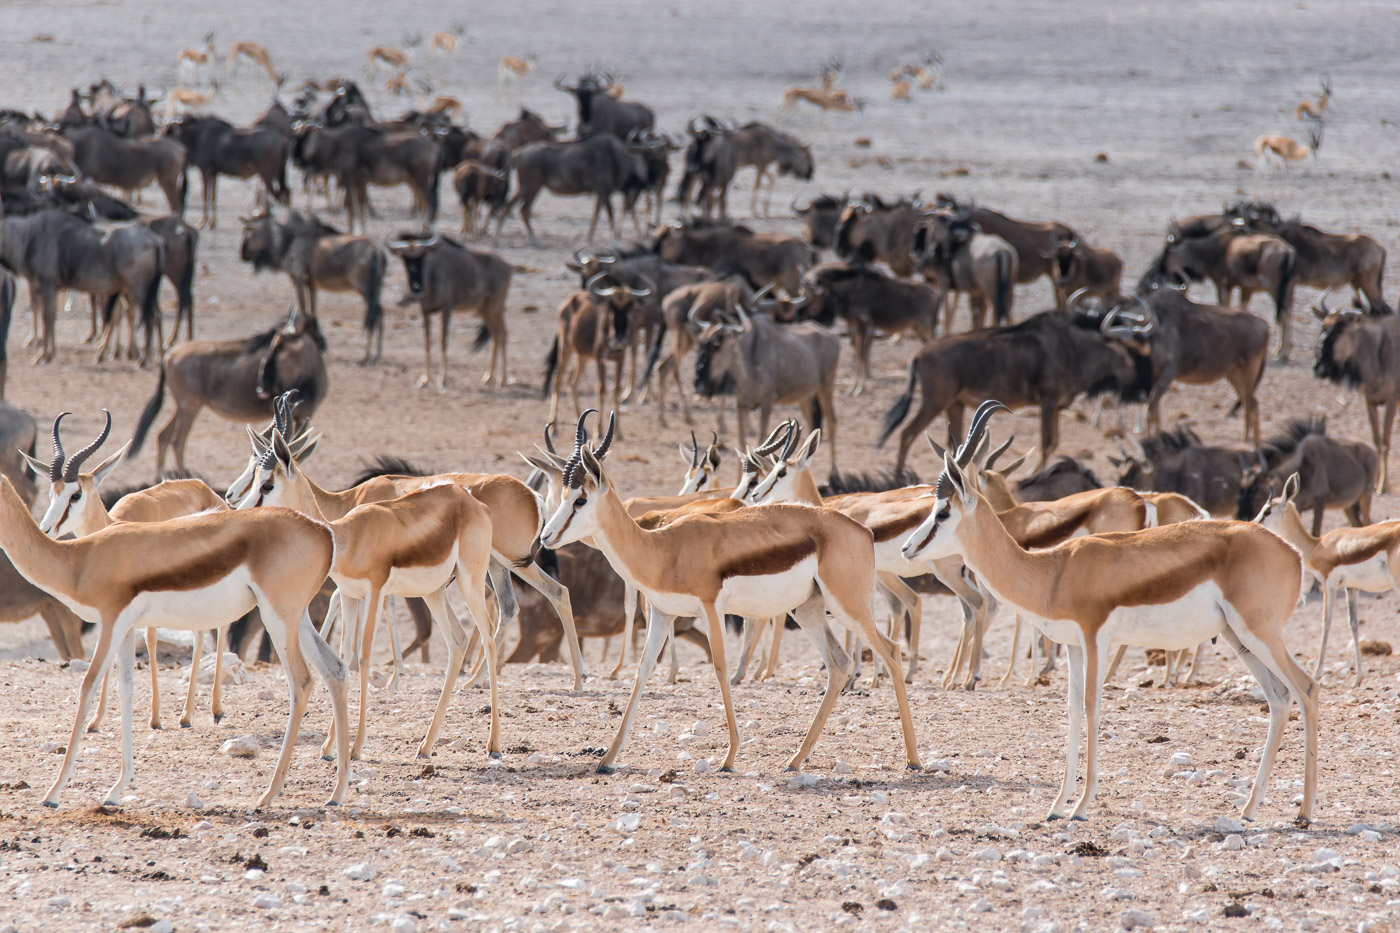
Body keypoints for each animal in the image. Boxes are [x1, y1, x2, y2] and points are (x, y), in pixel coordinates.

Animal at [0, 473, 350, 806]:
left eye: (74, 495)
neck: (80, 559)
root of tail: (324, 532)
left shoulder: (111, 622)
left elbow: (87, 688)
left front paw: (53, 793)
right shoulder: (126, 629)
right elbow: (126, 691)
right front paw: (116, 789)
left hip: (277, 618)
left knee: (301, 681)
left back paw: (268, 795)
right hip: (296, 619)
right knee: (335, 669)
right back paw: (337, 790)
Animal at [540, 411, 924, 767]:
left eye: (580, 500)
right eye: (564, 495)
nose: (545, 536)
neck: (664, 549)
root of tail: (863, 530)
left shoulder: (711, 608)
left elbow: (722, 669)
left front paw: (729, 757)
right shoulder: (663, 613)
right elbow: (643, 670)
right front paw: (607, 758)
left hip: (847, 606)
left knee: (890, 652)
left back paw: (913, 759)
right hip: (809, 609)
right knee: (839, 664)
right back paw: (795, 759)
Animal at [901, 400, 1316, 823]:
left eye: (942, 512)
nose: (906, 548)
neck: (1054, 573)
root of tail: (1293, 555)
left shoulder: (1095, 637)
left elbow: (1091, 706)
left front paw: (1081, 806)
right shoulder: (1073, 645)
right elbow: (1071, 709)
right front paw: (1057, 805)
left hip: (1259, 633)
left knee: (1306, 688)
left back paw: (1304, 811)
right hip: (1238, 637)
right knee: (1279, 699)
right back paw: (1249, 808)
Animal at [1260, 473, 1400, 683]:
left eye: (1267, 511)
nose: (1254, 522)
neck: (1318, 547)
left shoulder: (1328, 583)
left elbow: (1326, 622)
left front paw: (1317, 672)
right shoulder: (1351, 586)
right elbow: (1353, 623)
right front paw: (1359, 677)